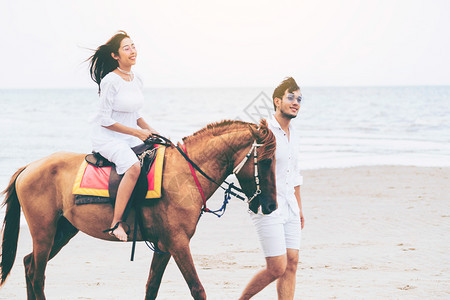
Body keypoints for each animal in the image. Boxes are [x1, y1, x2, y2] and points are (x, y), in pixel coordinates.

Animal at [0, 118, 276, 298]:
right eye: (266, 162)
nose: (271, 205)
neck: (185, 174)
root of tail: (29, 167)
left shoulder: (164, 245)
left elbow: (151, 287)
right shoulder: (178, 243)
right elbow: (197, 289)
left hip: (63, 232)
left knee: (29, 265)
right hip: (44, 234)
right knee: (37, 276)